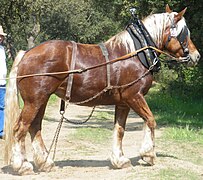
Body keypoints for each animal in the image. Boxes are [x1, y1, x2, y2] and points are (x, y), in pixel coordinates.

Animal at [3, 5, 201, 174]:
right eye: (184, 33)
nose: (196, 55)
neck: (136, 52)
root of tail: (27, 54)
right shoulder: (134, 96)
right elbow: (151, 120)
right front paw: (148, 155)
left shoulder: (123, 103)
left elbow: (120, 130)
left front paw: (120, 160)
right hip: (34, 101)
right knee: (20, 128)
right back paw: (22, 166)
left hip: (41, 100)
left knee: (34, 127)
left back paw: (45, 162)